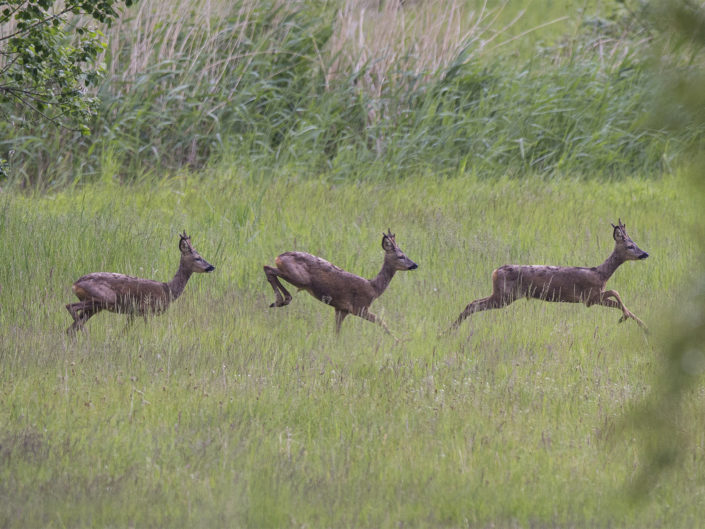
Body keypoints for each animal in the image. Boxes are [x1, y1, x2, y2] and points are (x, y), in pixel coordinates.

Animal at [65, 231, 215, 334]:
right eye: (197, 258)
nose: (211, 266)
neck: (168, 290)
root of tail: (75, 284)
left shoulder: (133, 313)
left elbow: (124, 331)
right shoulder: (146, 309)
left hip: (95, 307)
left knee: (70, 328)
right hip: (105, 298)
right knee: (70, 307)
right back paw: (86, 334)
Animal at [264, 230, 418, 337]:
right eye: (401, 256)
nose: (414, 265)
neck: (374, 288)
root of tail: (280, 256)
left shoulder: (341, 309)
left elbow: (336, 331)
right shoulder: (360, 307)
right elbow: (383, 322)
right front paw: (398, 342)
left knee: (269, 269)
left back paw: (281, 301)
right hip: (299, 278)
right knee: (268, 268)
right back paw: (281, 300)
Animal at [445, 220, 649, 333]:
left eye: (636, 243)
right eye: (630, 246)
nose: (645, 254)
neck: (601, 273)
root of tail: (495, 271)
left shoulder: (594, 298)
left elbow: (618, 301)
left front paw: (643, 326)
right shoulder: (589, 297)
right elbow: (615, 292)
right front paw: (625, 317)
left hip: (502, 295)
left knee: (472, 303)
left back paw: (449, 331)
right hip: (504, 296)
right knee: (473, 304)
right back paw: (449, 331)